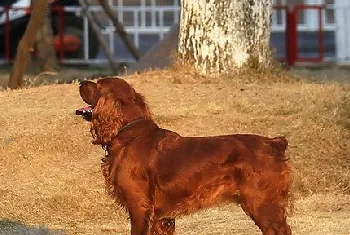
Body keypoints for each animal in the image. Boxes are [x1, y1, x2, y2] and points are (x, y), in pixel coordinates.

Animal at [78, 77, 292, 235]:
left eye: (97, 84)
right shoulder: (162, 218)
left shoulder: (139, 206)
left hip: (264, 206)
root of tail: (274, 143)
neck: (130, 135)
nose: (81, 81)